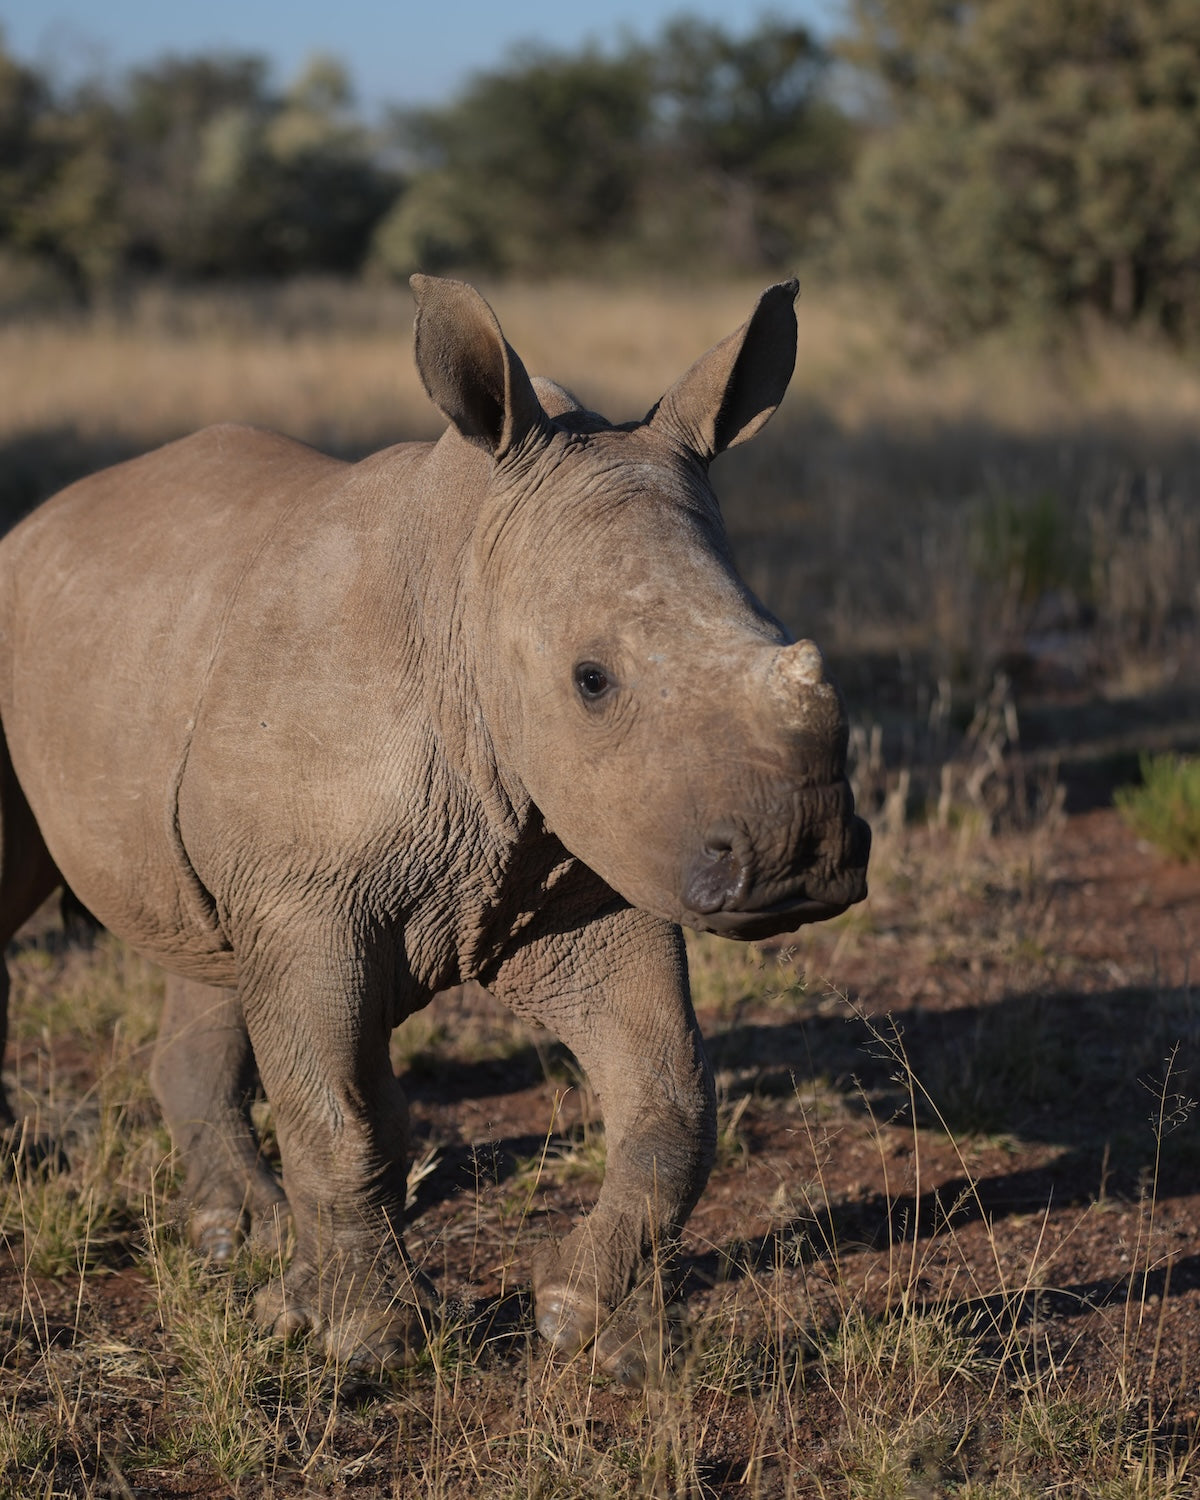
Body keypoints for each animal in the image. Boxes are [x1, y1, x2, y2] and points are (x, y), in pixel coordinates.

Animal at [0, 276, 868, 1380]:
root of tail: (37, 524)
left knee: (213, 952)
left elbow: (672, 1098)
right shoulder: (312, 897)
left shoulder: (589, 869)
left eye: (782, 636)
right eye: (592, 680)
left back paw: (240, 1236)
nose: (801, 857)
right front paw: (369, 1342)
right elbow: (343, 1114)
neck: (468, 578)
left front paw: (591, 1328)